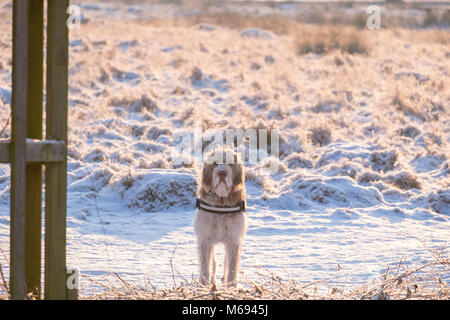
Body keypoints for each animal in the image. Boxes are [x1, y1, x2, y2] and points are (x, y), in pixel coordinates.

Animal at [192, 149, 246, 286]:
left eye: (230, 163)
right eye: (215, 163)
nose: (222, 173)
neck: (221, 202)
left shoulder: (233, 240)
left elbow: (232, 267)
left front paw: (231, 287)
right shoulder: (205, 239)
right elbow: (205, 266)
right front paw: (204, 285)